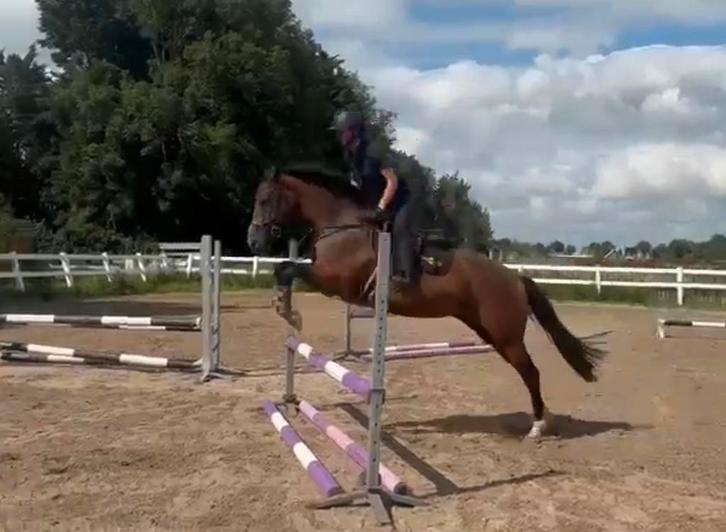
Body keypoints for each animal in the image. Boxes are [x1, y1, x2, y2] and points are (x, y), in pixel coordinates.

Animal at [247, 166, 607, 438]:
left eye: (264, 199)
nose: (252, 241)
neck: (340, 224)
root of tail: (515, 278)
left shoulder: (336, 282)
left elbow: (288, 268)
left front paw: (288, 312)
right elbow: (284, 268)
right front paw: (285, 308)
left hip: (506, 337)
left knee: (531, 372)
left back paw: (537, 426)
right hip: (491, 333)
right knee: (528, 371)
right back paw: (545, 419)